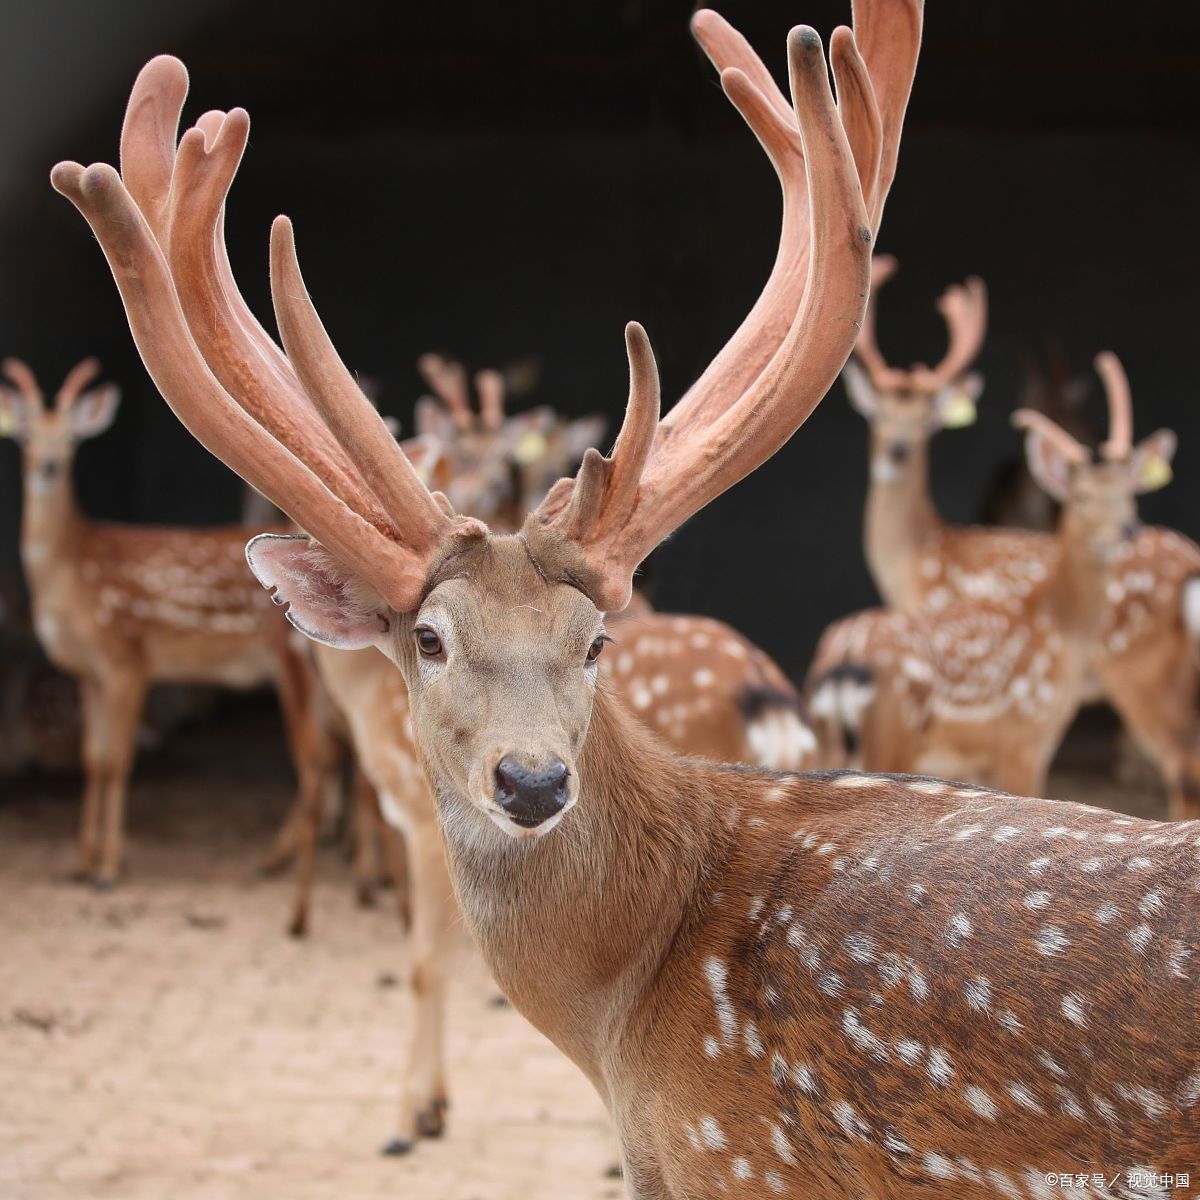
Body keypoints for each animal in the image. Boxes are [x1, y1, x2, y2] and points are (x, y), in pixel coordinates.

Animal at [0, 360, 331, 888]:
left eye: (71, 438)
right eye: (26, 434)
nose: (48, 466)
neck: (70, 571)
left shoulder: (127, 659)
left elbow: (118, 760)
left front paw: (108, 868)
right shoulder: (88, 671)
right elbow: (92, 759)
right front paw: (81, 861)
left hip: (291, 661)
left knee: (316, 760)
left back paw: (282, 862)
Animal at [806, 398, 1180, 796]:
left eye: (1131, 493)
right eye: (1082, 496)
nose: (1129, 529)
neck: (1061, 624)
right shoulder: (1025, 739)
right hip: (894, 734)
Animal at [844, 265, 1200, 816]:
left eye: (926, 420)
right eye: (877, 415)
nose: (897, 452)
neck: (918, 554)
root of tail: (1190, 565)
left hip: (1143, 670)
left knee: (1182, 765)